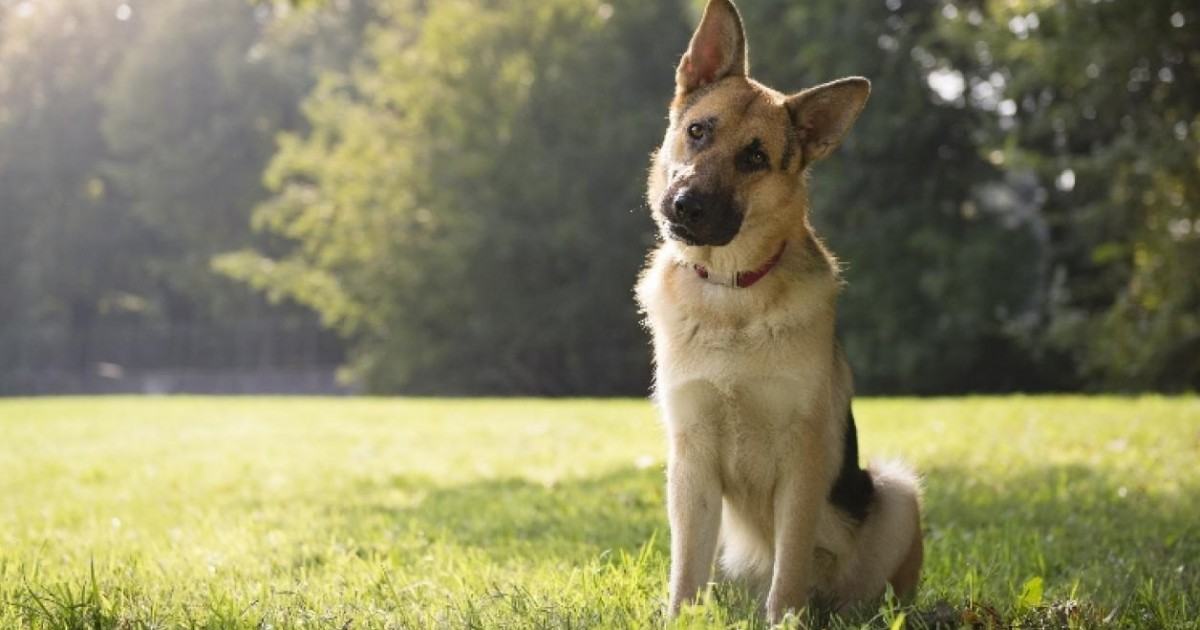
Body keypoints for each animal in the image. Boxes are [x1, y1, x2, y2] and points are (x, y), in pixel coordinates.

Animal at [633, 0, 921, 619]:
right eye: (698, 131)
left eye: (755, 157)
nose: (685, 206)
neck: (731, 293)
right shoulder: (690, 462)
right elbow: (685, 569)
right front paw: (682, 618)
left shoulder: (802, 461)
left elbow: (789, 565)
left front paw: (785, 620)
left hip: (897, 492)